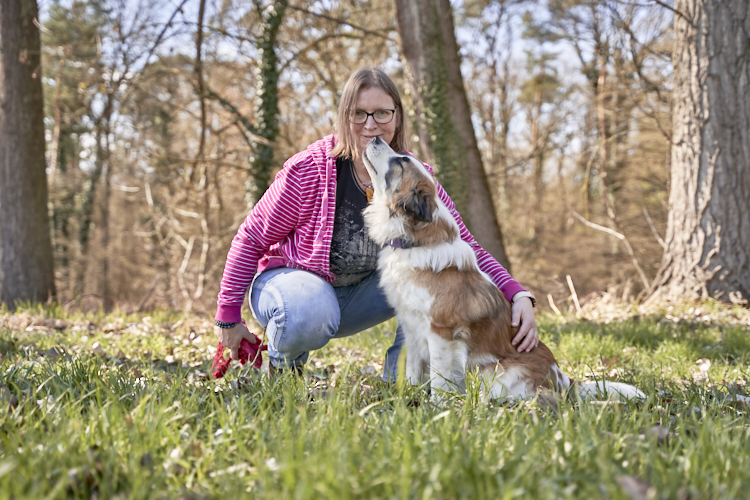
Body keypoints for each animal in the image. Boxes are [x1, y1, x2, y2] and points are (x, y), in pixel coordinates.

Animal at [362, 138, 644, 402]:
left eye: (401, 162)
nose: (375, 138)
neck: (416, 241)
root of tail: (564, 380)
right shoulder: (411, 330)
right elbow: (412, 369)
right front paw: (406, 399)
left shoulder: (441, 333)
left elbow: (439, 378)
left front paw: (436, 407)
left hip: (494, 372)